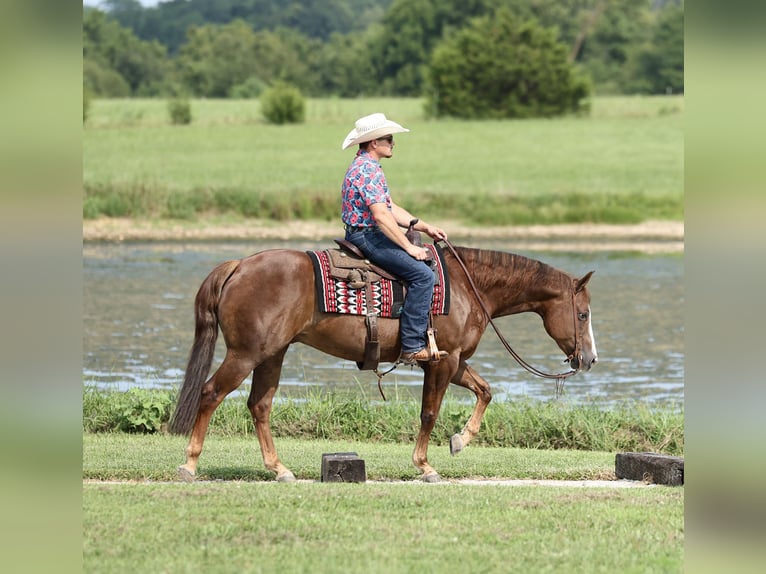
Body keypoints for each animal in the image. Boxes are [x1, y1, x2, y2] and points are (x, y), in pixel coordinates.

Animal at [169, 243, 597, 482]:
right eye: (583, 314)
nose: (589, 359)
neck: (468, 287)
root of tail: (239, 265)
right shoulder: (441, 364)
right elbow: (429, 413)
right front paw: (425, 466)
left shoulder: (454, 361)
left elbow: (485, 391)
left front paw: (461, 440)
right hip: (246, 353)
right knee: (210, 393)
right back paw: (189, 465)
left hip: (272, 353)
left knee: (259, 405)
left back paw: (280, 470)